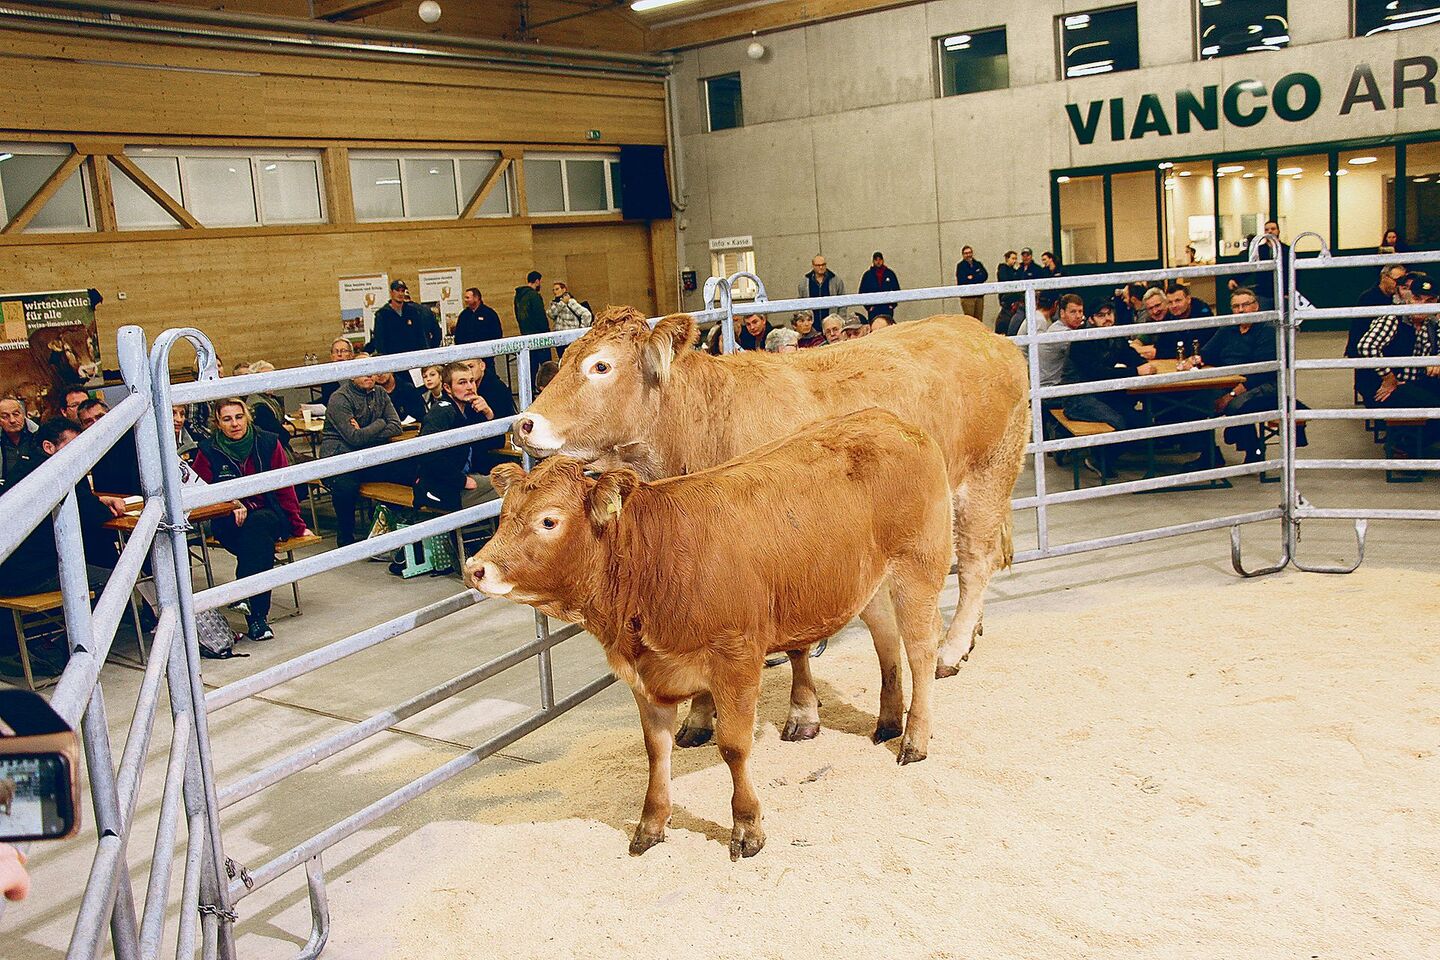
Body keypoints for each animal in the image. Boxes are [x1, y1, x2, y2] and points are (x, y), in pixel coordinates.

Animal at [465, 409, 953, 859]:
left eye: (549, 521)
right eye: (504, 515)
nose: (475, 568)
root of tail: (890, 419)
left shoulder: (736, 660)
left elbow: (734, 748)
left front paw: (747, 827)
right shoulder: (645, 677)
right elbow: (656, 751)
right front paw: (651, 825)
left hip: (919, 565)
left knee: (920, 649)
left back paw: (914, 740)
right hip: (869, 582)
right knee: (886, 638)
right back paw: (888, 721)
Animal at [513, 308, 1029, 747]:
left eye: (600, 366)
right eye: (565, 360)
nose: (525, 424)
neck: (702, 427)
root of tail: (983, 334)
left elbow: (798, 648)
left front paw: (803, 713)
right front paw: (699, 719)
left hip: (986, 476)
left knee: (976, 562)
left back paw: (951, 648)